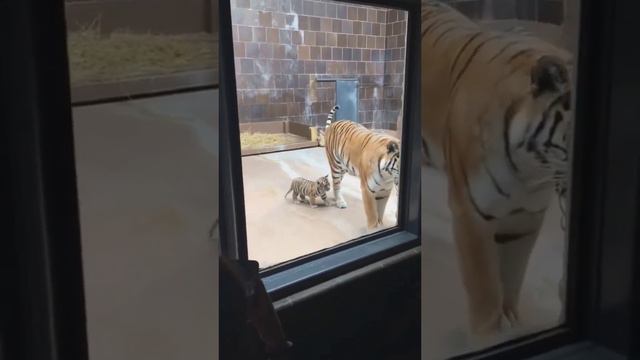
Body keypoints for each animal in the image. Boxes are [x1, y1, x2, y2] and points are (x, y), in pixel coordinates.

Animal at [422, 1, 572, 336]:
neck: (532, 170)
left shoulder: (526, 219)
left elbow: (512, 278)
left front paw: (513, 321)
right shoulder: (471, 215)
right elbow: (486, 293)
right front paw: (490, 335)